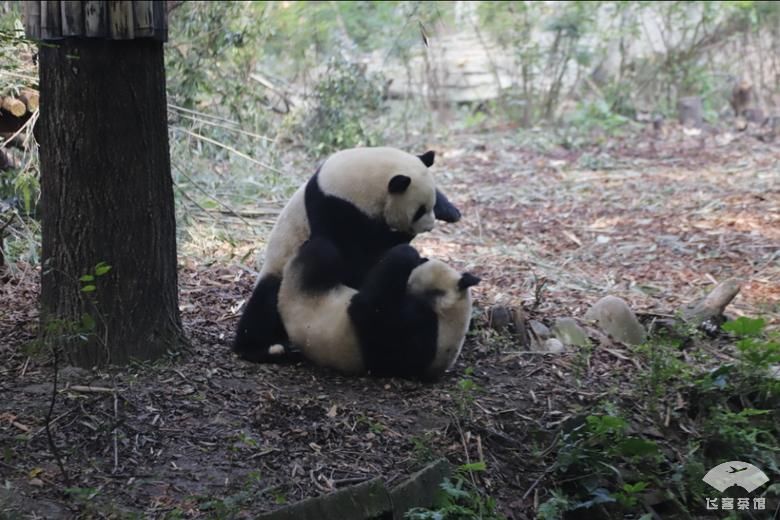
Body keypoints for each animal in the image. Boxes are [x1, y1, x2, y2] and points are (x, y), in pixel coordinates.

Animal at [232, 147, 464, 362]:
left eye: (431, 205)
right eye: (419, 210)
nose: (429, 226)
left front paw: (449, 210)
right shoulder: (334, 209)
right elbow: (356, 258)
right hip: (279, 268)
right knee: (265, 303)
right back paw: (262, 348)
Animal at [278, 238, 478, 380]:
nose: (424, 258)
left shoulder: (414, 330)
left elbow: (366, 308)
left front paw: (408, 253)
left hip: (301, 293)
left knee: (322, 255)